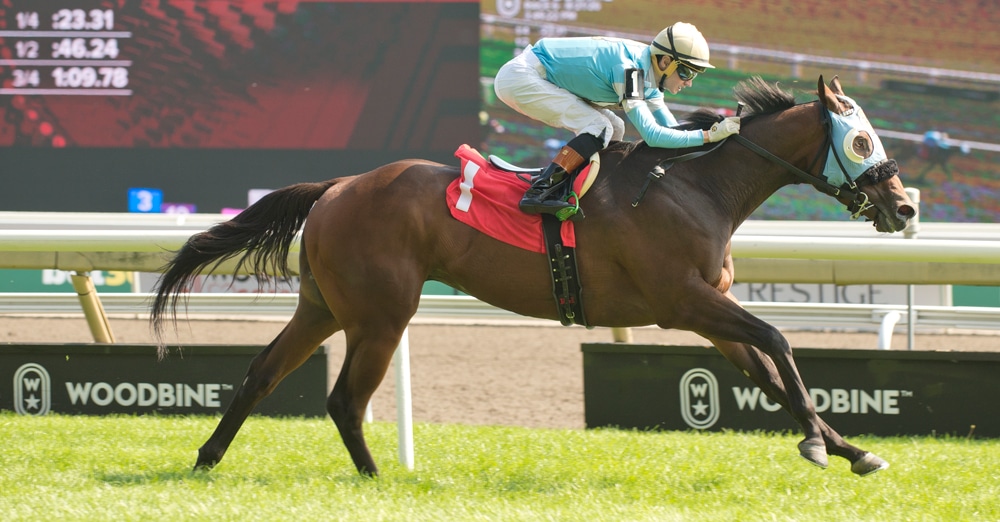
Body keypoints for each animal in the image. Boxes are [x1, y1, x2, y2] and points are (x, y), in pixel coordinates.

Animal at [151, 75, 915, 478]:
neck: (693, 186)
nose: (905, 206)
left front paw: (849, 448)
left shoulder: (708, 312)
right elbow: (780, 345)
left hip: (323, 306)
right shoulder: (682, 302)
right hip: (381, 314)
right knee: (343, 398)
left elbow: (769, 374)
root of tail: (338, 185)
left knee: (261, 373)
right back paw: (375, 479)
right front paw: (820, 444)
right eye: (862, 140)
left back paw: (206, 459)